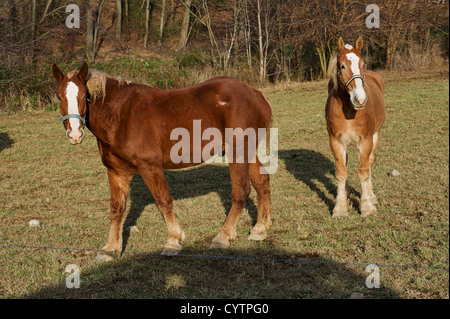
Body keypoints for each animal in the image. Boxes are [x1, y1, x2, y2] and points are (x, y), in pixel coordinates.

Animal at [51, 63, 272, 260]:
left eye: (84, 96)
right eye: (59, 96)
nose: (75, 134)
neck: (120, 116)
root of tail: (257, 95)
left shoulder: (150, 168)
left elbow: (164, 201)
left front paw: (173, 241)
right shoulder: (116, 172)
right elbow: (117, 208)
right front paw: (110, 249)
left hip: (238, 153)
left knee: (241, 191)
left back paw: (223, 236)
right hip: (248, 152)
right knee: (261, 182)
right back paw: (260, 229)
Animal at [326, 37, 384, 218]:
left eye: (362, 64)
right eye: (342, 65)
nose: (360, 99)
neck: (349, 111)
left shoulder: (365, 141)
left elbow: (363, 171)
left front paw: (367, 207)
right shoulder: (336, 142)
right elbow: (341, 173)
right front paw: (340, 208)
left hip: (374, 137)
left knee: (369, 163)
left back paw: (371, 197)